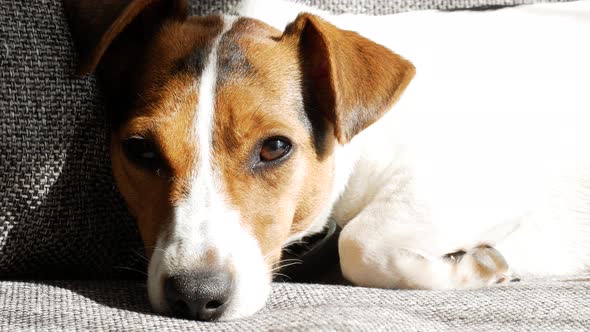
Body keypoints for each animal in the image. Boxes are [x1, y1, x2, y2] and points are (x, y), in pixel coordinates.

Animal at [62, 0, 588, 322]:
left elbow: (357, 242)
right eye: (140, 150)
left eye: (275, 147)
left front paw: (480, 265)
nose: (194, 297)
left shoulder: (489, 180)